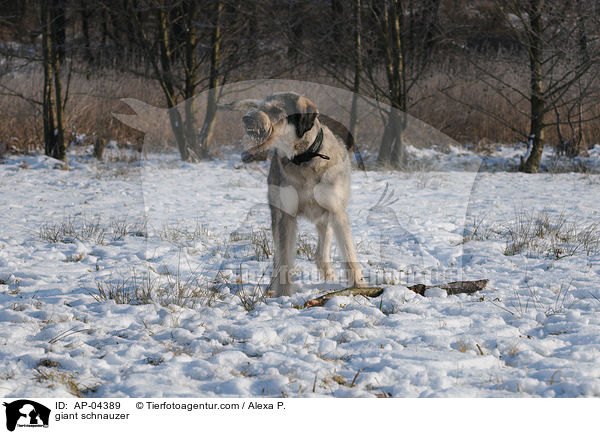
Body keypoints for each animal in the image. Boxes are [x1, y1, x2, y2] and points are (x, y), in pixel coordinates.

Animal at [239, 91, 366, 294]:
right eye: (258, 105)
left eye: (276, 110)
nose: (246, 118)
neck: (304, 157)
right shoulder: (286, 216)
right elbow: (284, 259)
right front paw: (282, 294)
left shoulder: (336, 212)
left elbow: (348, 252)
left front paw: (359, 286)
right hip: (276, 216)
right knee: (278, 257)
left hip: (326, 220)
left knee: (321, 253)